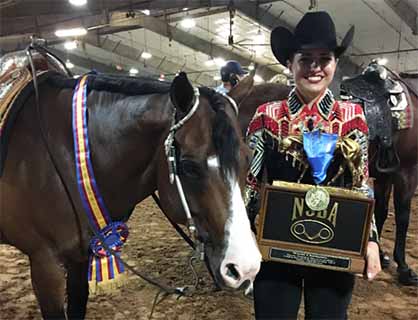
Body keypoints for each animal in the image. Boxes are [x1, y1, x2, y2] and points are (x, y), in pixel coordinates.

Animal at [0, 55, 262, 318]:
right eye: (188, 166)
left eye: (248, 158)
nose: (245, 268)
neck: (68, 154)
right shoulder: (45, 265)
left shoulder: (79, 258)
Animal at [342, 62, 416, 284]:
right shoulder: (408, 173)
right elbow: (403, 215)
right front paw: (404, 267)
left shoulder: (385, 176)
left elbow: (381, 211)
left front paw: (380, 254)